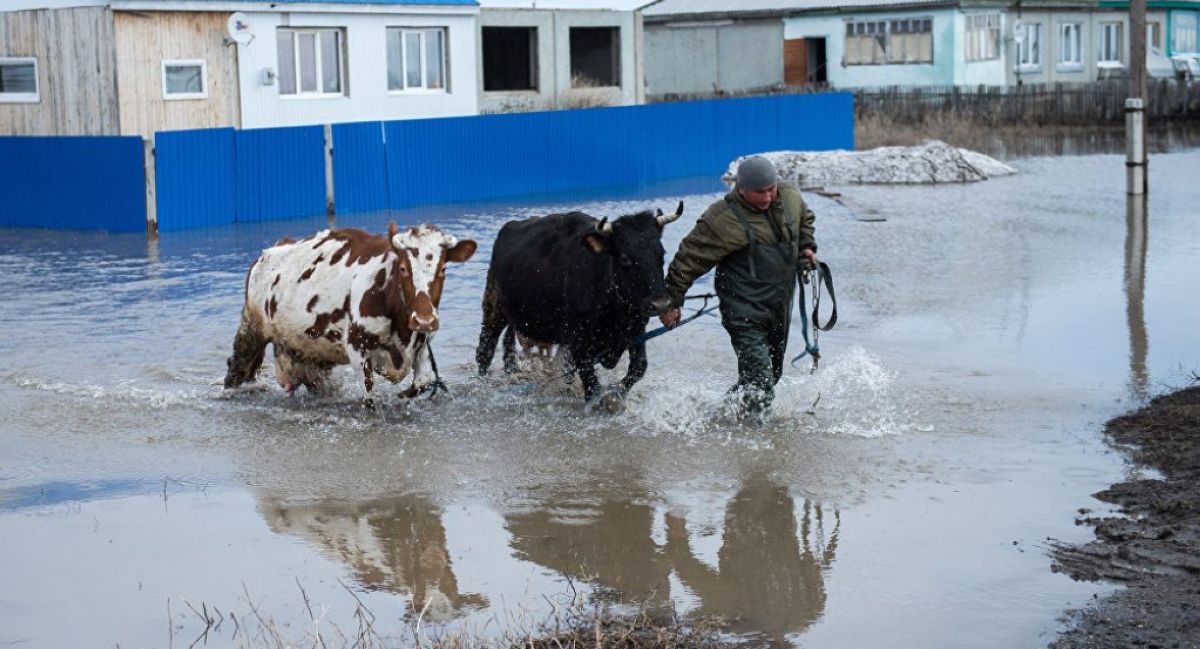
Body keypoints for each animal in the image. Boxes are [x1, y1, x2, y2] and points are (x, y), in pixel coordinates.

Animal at [475, 202, 686, 403]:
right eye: (625, 258)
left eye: (661, 254)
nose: (661, 304)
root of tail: (510, 227)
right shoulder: (579, 341)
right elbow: (590, 382)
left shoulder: (636, 330)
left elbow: (638, 367)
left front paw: (616, 395)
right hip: (493, 307)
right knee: (485, 350)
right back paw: (481, 385)